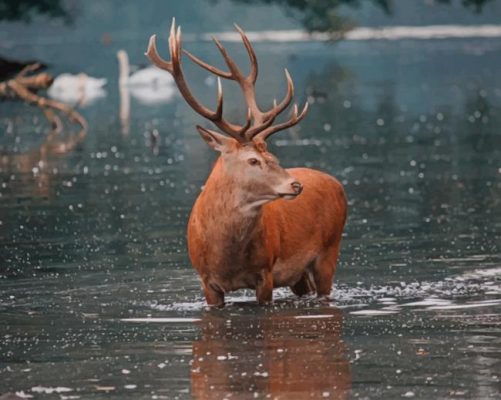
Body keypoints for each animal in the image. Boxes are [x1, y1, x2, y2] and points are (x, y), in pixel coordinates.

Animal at [146, 18, 346, 306]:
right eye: (253, 160)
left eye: (273, 157)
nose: (296, 185)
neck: (226, 258)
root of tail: (337, 184)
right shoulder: (205, 280)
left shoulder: (266, 271)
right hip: (299, 274)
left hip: (330, 249)